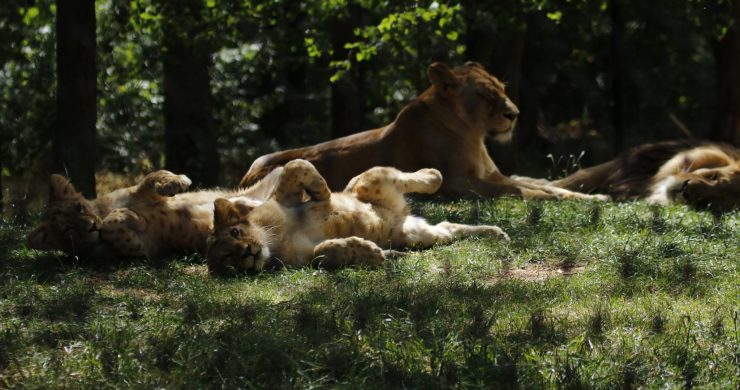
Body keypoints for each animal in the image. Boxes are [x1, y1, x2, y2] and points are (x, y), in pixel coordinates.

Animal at [26, 168, 280, 258]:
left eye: (78, 207)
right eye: (68, 230)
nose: (91, 226)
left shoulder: (136, 192)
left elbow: (151, 177)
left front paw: (178, 181)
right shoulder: (149, 247)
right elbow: (115, 227)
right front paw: (128, 217)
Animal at [205, 158, 512, 274]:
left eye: (235, 232)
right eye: (228, 260)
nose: (247, 252)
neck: (274, 241)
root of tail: (401, 217)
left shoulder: (283, 200)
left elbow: (295, 166)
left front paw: (322, 192)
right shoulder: (305, 257)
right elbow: (324, 253)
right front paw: (372, 253)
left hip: (372, 185)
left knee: (390, 178)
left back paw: (432, 174)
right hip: (417, 236)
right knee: (448, 227)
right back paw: (497, 233)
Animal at [243, 61, 608, 201]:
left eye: (502, 88)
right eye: (484, 95)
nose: (514, 114)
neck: (474, 135)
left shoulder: (492, 174)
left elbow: (537, 183)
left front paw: (594, 195)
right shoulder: (458, 183)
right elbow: (520, 190)